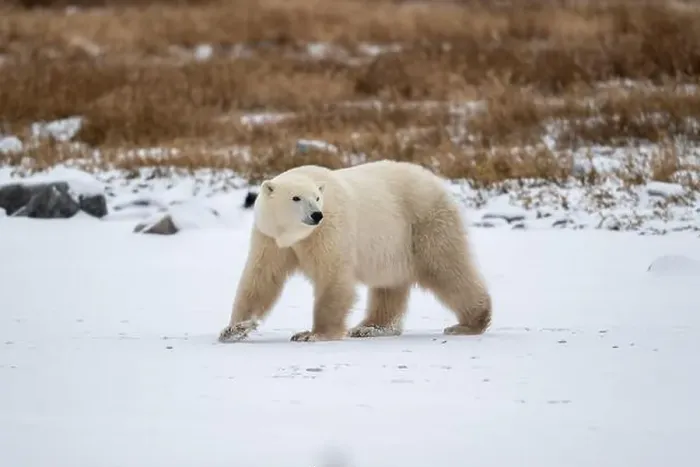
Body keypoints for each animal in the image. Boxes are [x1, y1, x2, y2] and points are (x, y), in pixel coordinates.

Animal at [218, 159, 492, 343]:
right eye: (296, 198)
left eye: (317, 197)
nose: (316, 215)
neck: (296, 236)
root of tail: (437, 181)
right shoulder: (270, 238)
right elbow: (262, 278)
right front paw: (235, 328)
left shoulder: (330, 229)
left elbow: (333, 277)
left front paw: (313, 334)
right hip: (395, 243)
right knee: (389, 284)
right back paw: (370, 327)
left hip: (425, 222)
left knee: (447, 267)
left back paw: (468, 323)